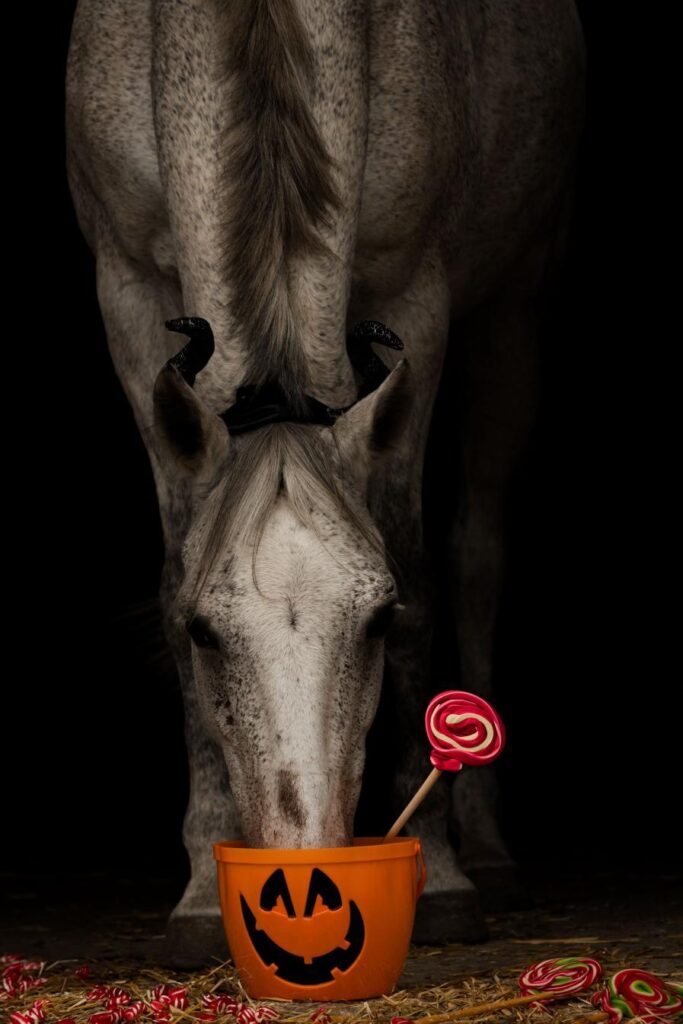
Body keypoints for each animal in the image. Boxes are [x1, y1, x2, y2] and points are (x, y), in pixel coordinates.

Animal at [65, 0, 585, 966]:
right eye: (201, 632)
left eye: (376, 620)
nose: (303, 859)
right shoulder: (126, 293)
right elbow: (174, 557)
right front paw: (200, 891)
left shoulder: (418, 291)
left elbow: (422, 574)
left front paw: (442, 880)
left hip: (514, 303)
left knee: (476, 558)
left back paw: (488, 852)